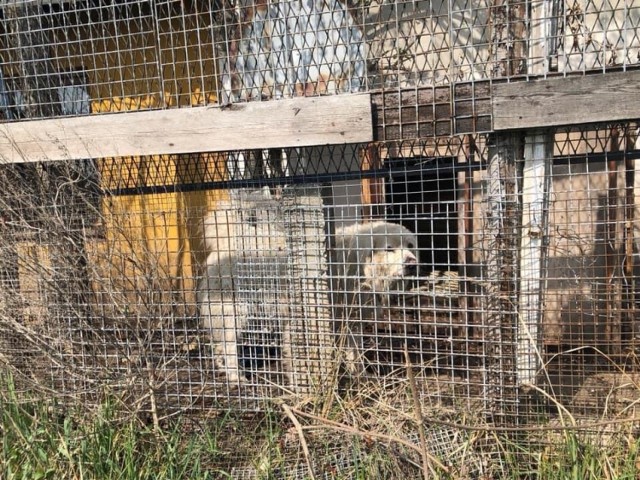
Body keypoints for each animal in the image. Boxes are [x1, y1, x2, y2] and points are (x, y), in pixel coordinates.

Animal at [198, 206, 418, 382]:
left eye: (410, 246)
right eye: (389, 249)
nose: (412, 263)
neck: (358, 262)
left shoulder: (351, 320)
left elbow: (353, 352)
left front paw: (360, 376)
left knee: (220, 345)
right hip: (235, 312)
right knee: (228, 346)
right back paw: (236, 377)